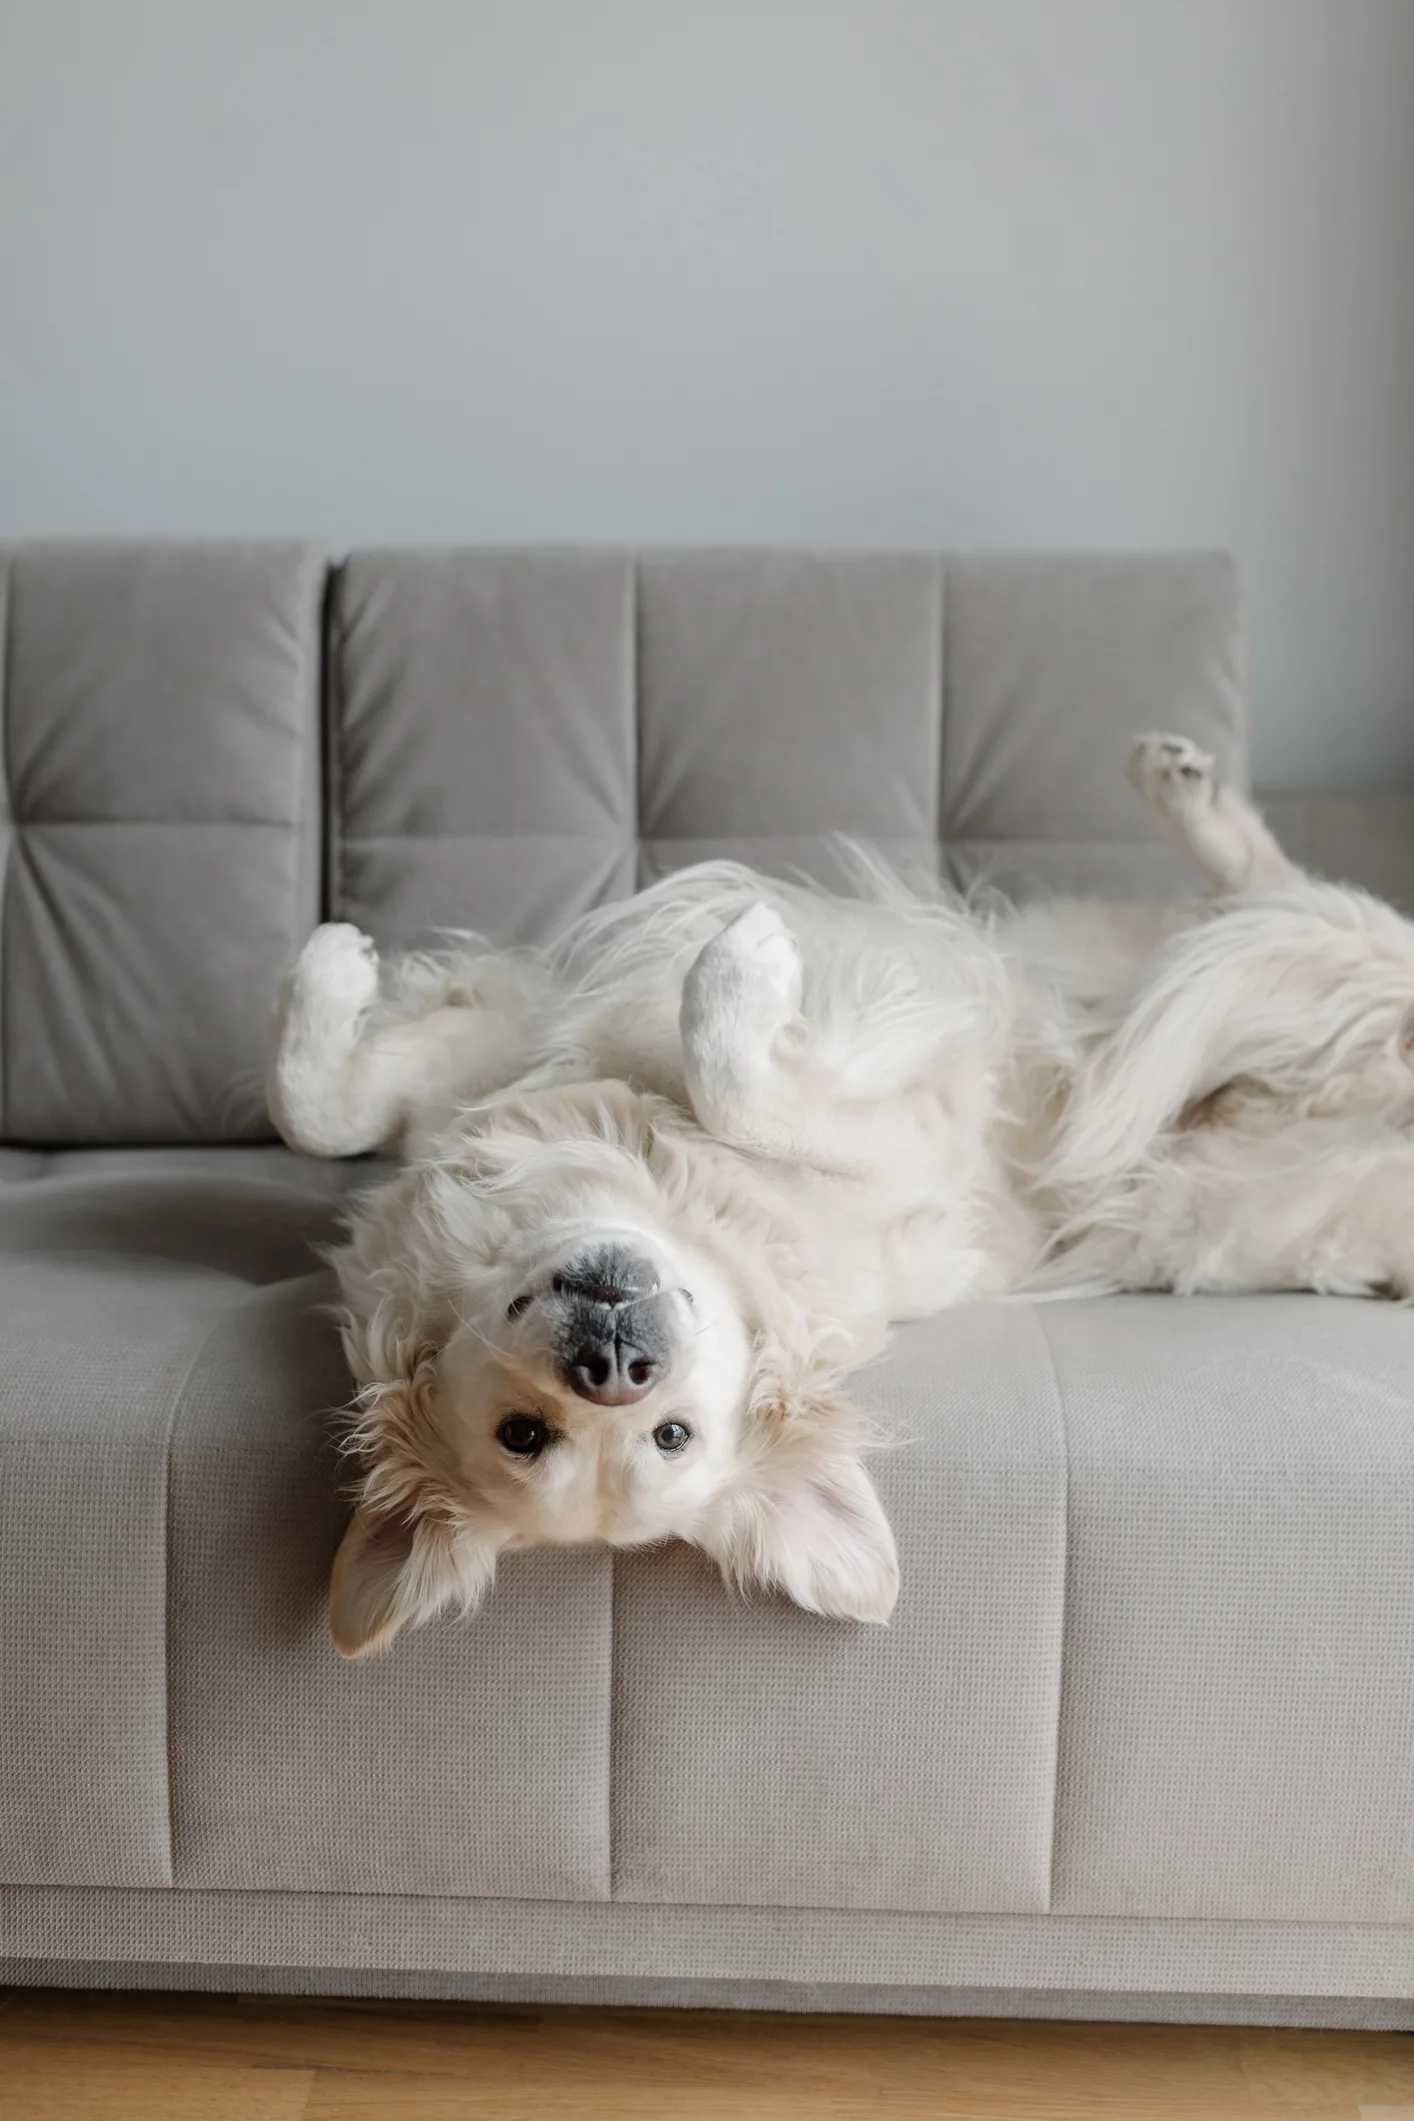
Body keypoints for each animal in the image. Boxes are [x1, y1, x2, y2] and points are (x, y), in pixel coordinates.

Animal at [271, 742, 1414, 1654]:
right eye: (526, 1434)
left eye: (671, 1436)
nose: (614, 1363)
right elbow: (331, 1112)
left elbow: (322, 1106)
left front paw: (330, 964)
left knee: (1292, 902)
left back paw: (1182, 786)